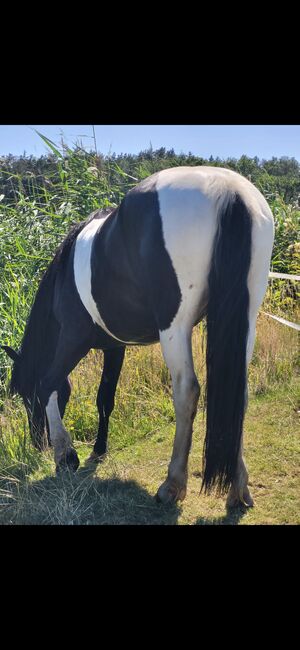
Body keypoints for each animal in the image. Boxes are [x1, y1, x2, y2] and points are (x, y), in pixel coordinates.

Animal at [1, 166, 274, 506]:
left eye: (25, 396)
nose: (39, 443)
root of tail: (227, 190)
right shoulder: (114, 348)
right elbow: (105, 398)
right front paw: (97, 451)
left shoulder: (73, 338)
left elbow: (49, 383)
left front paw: (65, 455)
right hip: (244, 319)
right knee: (238, 391)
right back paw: (238, 489)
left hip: (175, 328)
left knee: (187, 391)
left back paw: (172, 484)